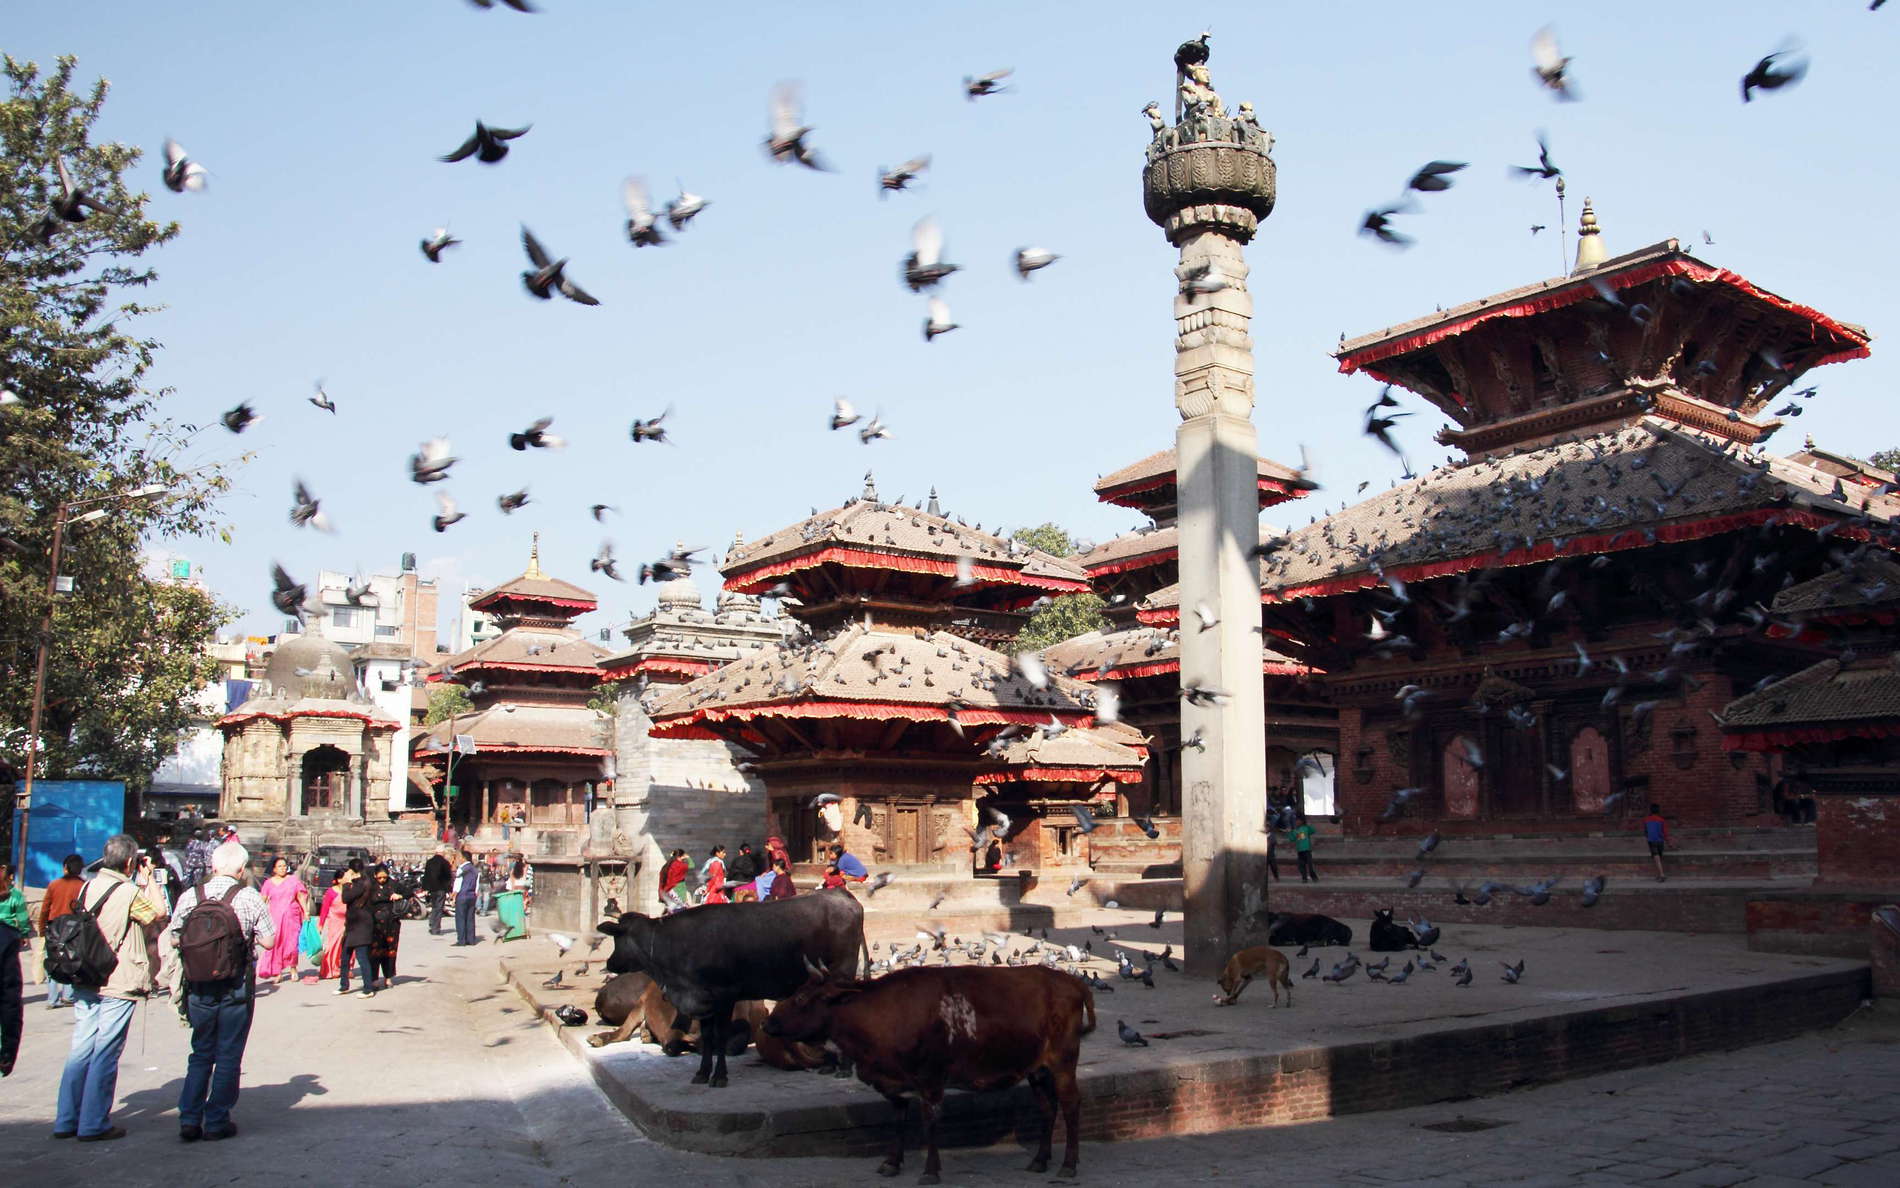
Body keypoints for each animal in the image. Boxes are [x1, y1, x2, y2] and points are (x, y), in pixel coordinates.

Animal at [596, 885, 866, 1087]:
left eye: (617, 937)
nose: (609, 962)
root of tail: (842, 896)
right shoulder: (702, 1000)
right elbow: (707, 1036)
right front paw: (702, 1073)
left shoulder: (725, 995)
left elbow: (720, 1035)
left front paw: (719, 1077)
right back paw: (830, 1066)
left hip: (842, 971)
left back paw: (842, 1068)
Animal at [760, 969, 1094, 1178]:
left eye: (801, 999)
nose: (767, 1023)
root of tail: (1072, 982)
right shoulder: (896, 1084)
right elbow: (898, 1122)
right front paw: (891, 1163)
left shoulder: (931, 1080)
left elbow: (929, 1123)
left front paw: (930, 1170)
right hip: (1037, 1069)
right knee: (1047, 1108)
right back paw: (1040, 1160)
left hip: (1063, 1062)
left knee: (1071, 1105)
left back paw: (1068, 1164)